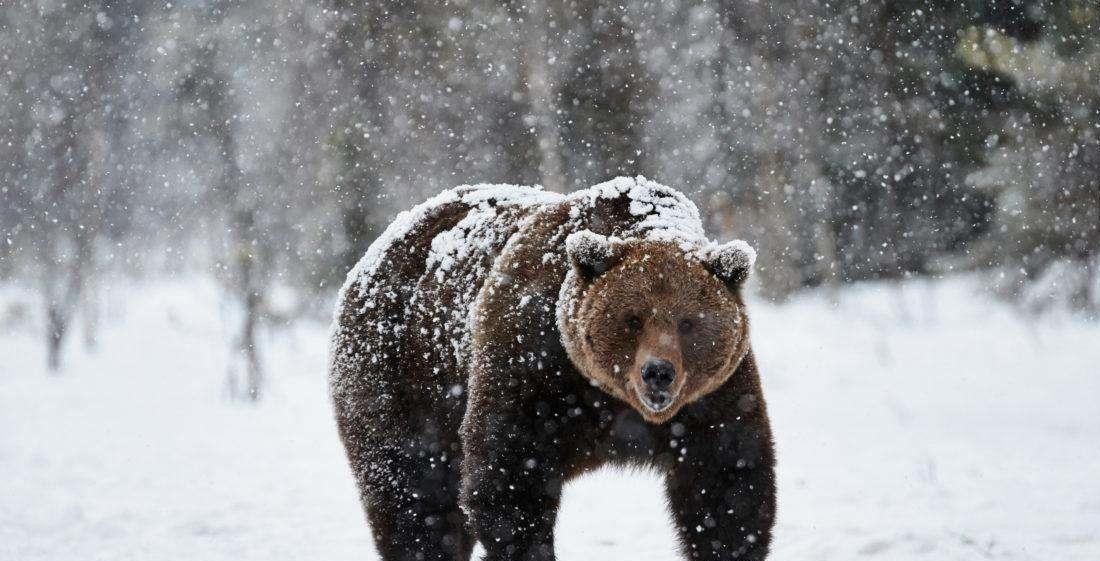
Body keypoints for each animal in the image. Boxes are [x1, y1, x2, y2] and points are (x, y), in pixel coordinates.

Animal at [330, 176, 778, 561]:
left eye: (688, 322)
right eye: (633, 319)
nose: (658, 372)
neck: (609, 398)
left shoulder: (714, 396)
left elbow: (727, 483)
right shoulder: (530, 364)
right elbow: (509, 478)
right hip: (403, 377)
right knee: (415, 498)